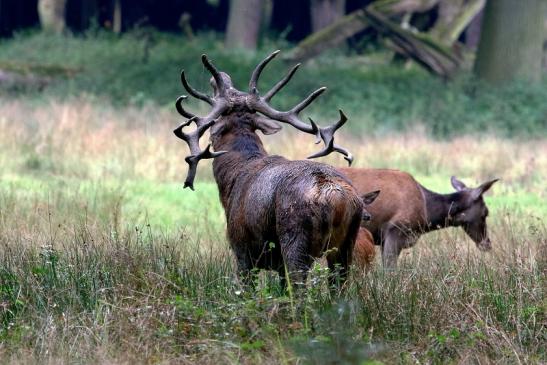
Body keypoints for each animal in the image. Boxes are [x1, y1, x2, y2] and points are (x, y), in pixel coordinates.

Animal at [172, 50, 376, 284]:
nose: (218, 78)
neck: (232, 180)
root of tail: (336, 196)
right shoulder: (276, 265)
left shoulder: (241, 248)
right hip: (347, 243)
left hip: (295, 236)